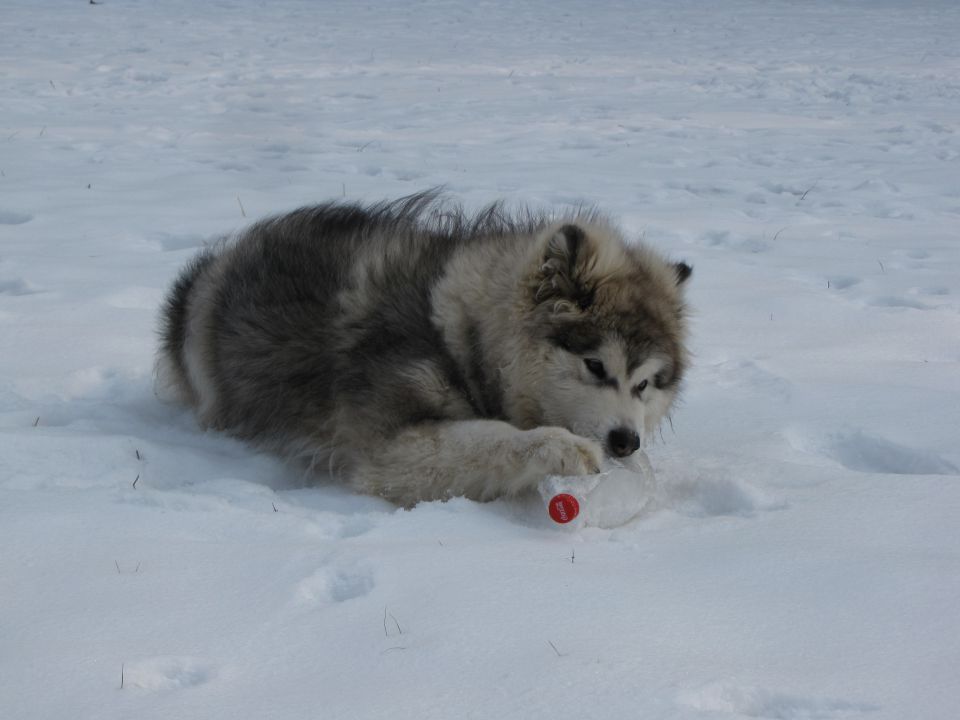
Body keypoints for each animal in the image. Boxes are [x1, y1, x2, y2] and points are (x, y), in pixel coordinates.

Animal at [161, 191, 692, 506]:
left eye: (645, 384)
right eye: (596, 366)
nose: (626, 441)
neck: (463, 333)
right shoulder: (387, 448)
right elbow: (494, 436)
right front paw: (557, 446)